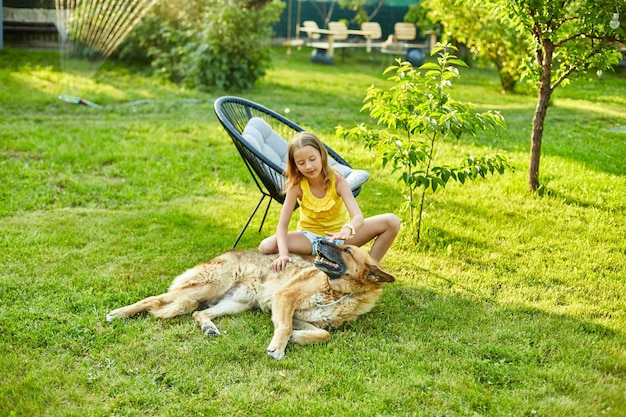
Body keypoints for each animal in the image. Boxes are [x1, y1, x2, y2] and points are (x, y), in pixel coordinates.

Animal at [105, 239, 392, 360]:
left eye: (346, 250)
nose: (320, 241)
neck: (339, 293)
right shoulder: (284, 298)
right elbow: (284, 327)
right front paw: (279, 347)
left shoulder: (299, 314)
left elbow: (323, 334)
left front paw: (295, 338)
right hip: (206, 286)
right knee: (154, 299)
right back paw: (118, 313)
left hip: (236, 303)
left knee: (199, 313)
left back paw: (209, 327)